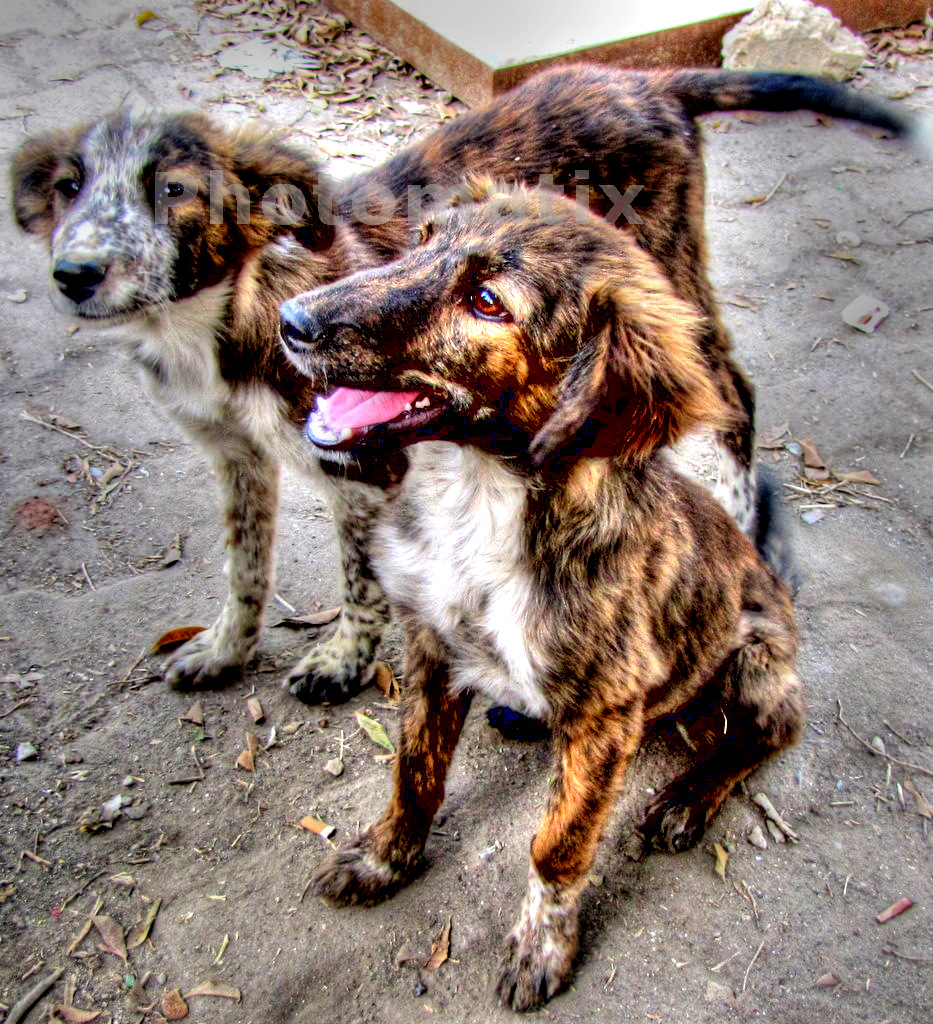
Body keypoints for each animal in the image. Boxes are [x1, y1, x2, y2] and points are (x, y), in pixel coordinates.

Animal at [280, 182, 807, 1007]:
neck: (477, 504)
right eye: (423, 240)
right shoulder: (432, 650)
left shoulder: (605, 713)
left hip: (752, 660)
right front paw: (384, 859)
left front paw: (542, 945)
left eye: (487, 302)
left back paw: (687, 798)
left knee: (770, 731)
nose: (290, 320)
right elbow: (414, 777)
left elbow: (557, 844)